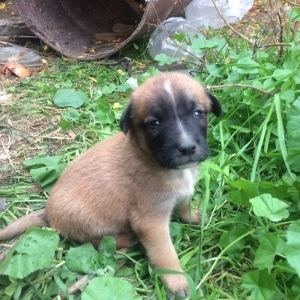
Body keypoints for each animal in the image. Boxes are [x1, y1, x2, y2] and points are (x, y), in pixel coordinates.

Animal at [0, 72, 220, 298]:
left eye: (198, 113)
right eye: (154, 123)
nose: (187, 148)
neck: (150, 158)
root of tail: (48, 214)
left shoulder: (181, 194)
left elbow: (184, 205)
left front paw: (194, 217)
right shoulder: (151, 221)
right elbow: (165, 253)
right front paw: (176, 282)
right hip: (87, 221)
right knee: (94, 241)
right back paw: (127, 239)